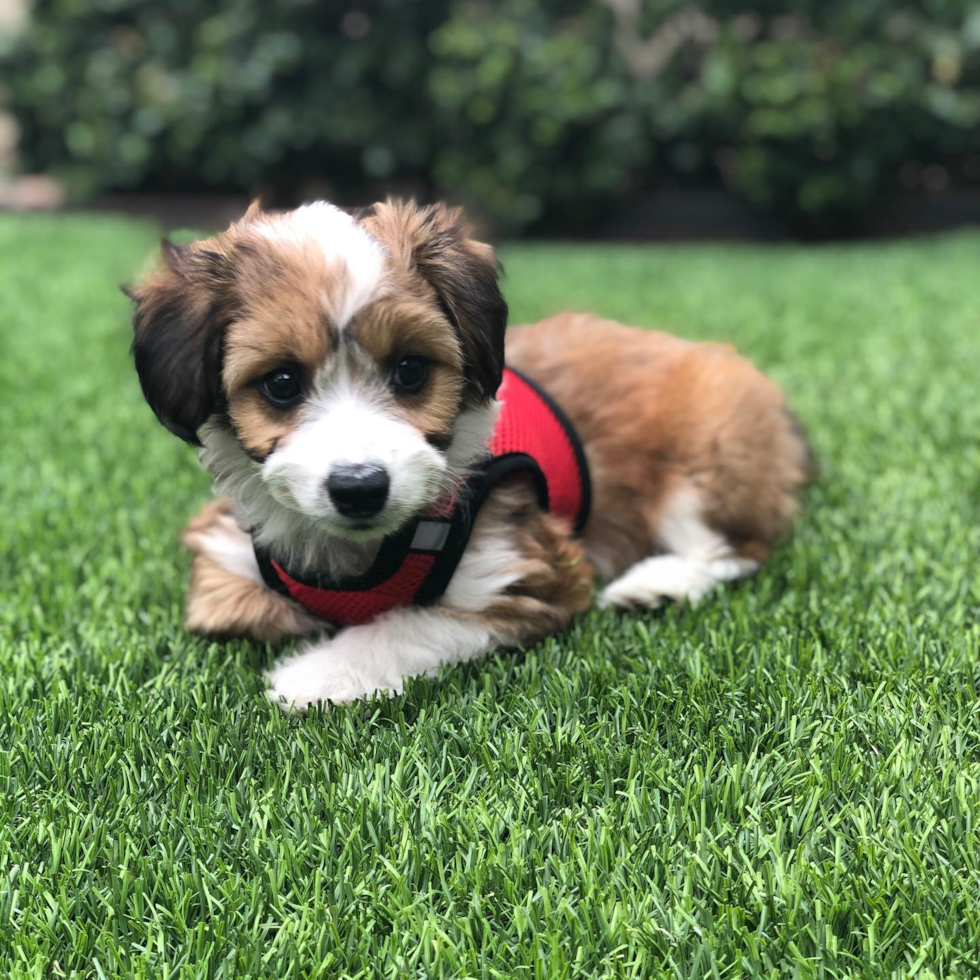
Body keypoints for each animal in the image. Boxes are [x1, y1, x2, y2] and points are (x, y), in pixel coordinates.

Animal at [128, 199, 812, 708]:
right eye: (281, 383)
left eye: (409, 370)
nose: (360, 487)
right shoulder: (223, 562)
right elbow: (242, 606)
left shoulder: (528, 570)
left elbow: (409, 622)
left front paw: (316, 675)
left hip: (711, 458)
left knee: (739, 548)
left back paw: (657, 585)